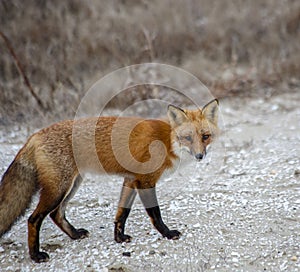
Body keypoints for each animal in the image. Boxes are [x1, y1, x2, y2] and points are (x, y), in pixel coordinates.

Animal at [1, 99, 219, 262]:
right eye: (188, 138)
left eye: (205, 136)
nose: (200, 156)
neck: (167, 141)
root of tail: (35, 135)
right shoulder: (145, 181)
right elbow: (155, 214)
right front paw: (167, 233)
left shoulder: (131, 180)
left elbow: (121, 213)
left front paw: (119, 237)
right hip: (59, 189)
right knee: (33, 218)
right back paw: (35, 255)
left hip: (72, 185)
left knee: (56, 214)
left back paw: (74, 235)